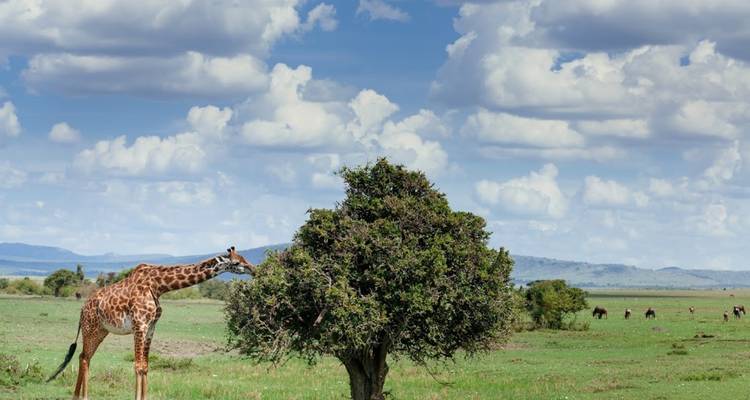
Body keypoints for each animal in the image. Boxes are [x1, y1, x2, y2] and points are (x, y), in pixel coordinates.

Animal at [47, 246, 254, 400]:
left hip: (101, 330)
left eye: (244, 257)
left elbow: (145, 366)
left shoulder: (151, 327)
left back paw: (78, 396)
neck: (159, 286)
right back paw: (82, 396)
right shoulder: (140, 325)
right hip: (90, 328)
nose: (254, 269)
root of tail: (82, 309)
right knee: (84, 357)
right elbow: (138, 366)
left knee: (85, 356)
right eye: (236, 262)